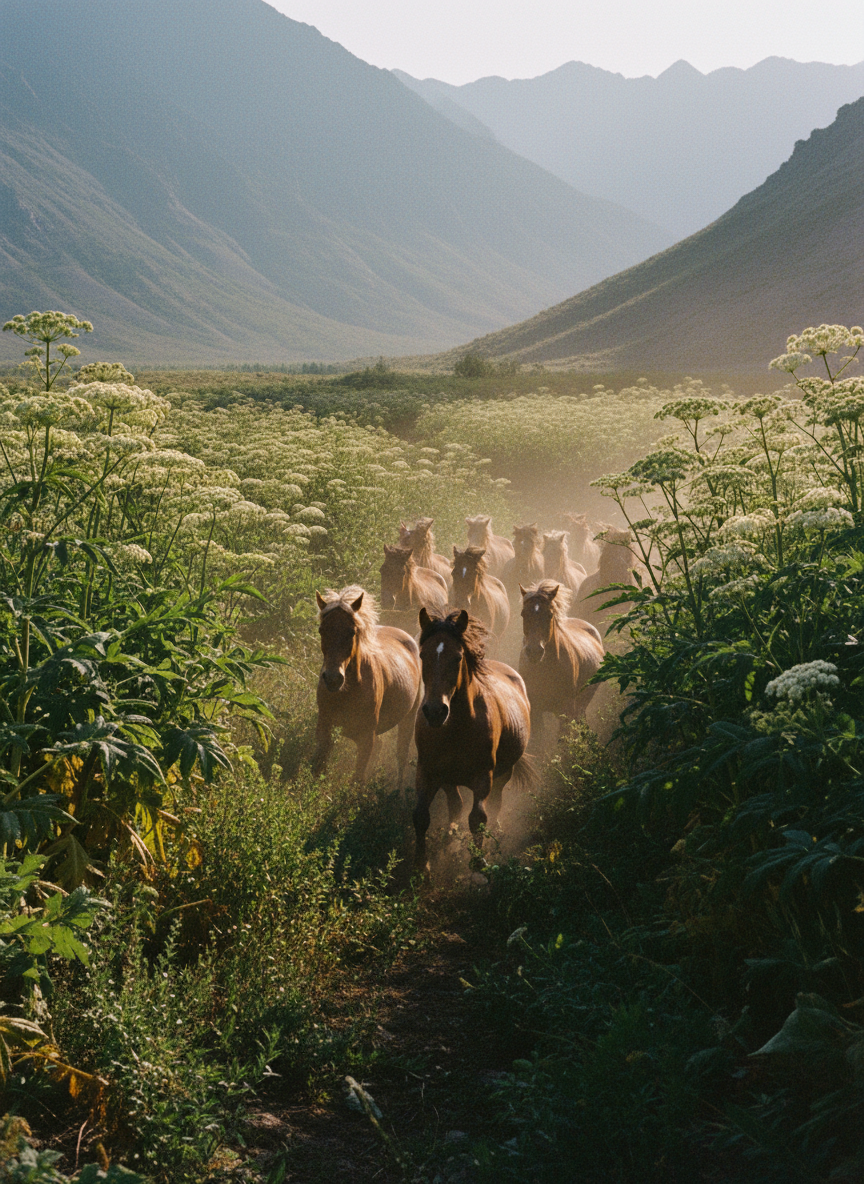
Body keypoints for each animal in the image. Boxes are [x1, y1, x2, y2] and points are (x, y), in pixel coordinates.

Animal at [313, 586, 422, 784]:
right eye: (321, 630)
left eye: (352, 632)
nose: (333, 678)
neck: (348, 691)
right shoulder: (324, 730)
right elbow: (317, 768)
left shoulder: (366, 739)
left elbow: (357, 777)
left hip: (409, 718)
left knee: (401, 757)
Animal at [413, 607, 532, 871]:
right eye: (423, 655)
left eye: (457, 658)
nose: (435, 711)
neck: (456, 728)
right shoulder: (428, 772)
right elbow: (421, 816)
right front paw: (422, 868)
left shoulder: (483, 776)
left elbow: (478, 818)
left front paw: (478, 865)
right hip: (448, 778)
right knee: (455, 805)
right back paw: (449, 840)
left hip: (503, 773)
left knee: (495, 804)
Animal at [518, 581, 604, 746]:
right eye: (523, 614)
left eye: (549, 614)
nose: (534, 651)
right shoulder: (535, 710)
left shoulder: (566, 708)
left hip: (580, 704)